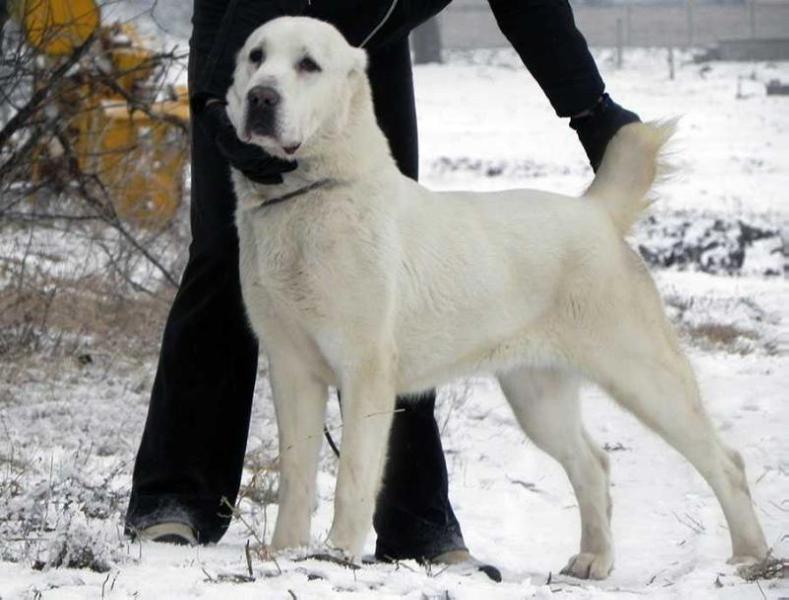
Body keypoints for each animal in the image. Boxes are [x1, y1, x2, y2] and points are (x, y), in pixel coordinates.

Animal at [225, 15, 768, 576]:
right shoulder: (291, 368)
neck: (311, 195)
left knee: (725, 462)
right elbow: (296, 476)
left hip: (643, 377)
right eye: (256, 57)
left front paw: (335, 556)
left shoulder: (364, 372)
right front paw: (283, 555)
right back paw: (593, 560)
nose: (262, 97)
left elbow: (353, 477)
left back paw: (750, 556)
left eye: (308, 65)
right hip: (538, 397)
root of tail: (596, 212)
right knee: (593, 463)